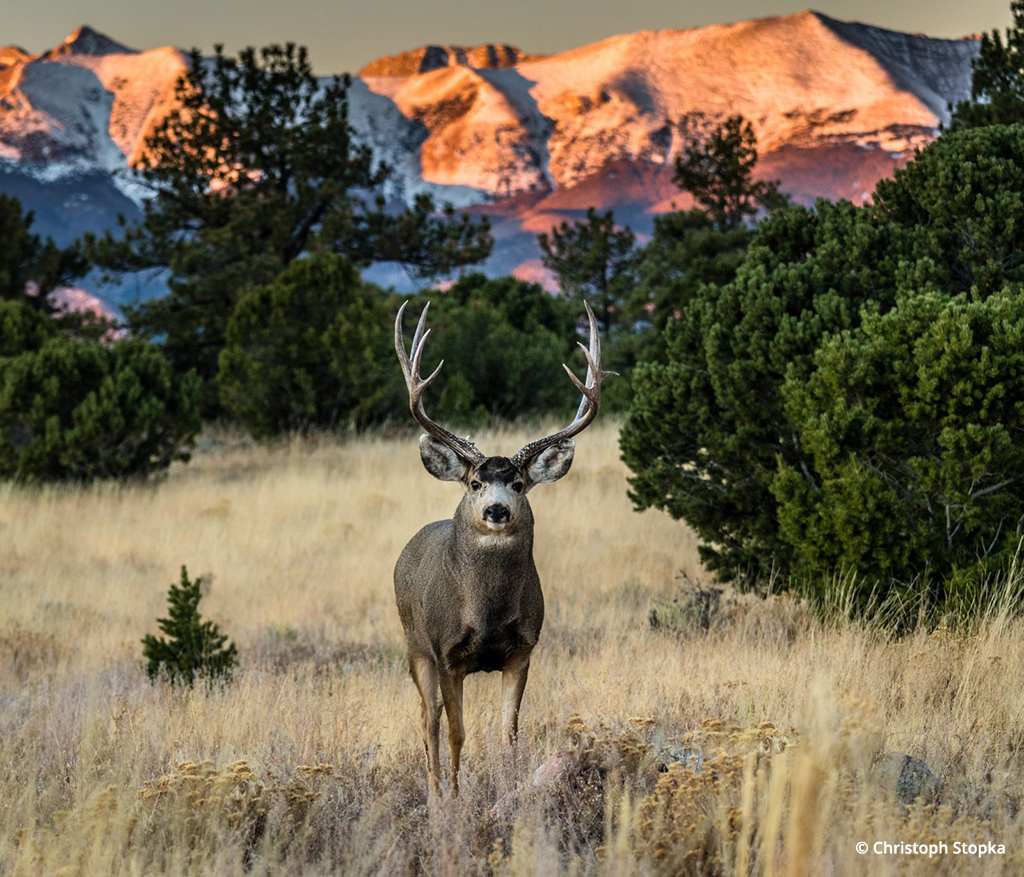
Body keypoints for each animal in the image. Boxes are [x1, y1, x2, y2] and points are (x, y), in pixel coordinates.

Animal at [393, 299, 610, 795]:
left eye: (518, 483)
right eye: (475, 482)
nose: (496, 510)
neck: (486, 613)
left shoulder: (522, 650)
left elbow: (509, 730)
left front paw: (514, 789)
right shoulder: (446, 652)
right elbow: (457, 732)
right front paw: (455, 797)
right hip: (414, 646)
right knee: (427, 721)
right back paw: (435, 793)